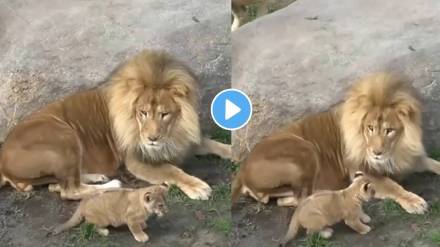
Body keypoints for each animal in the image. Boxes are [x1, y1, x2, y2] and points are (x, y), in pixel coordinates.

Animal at [0, 49, 232, 200]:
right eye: (143, 113)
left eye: (164, 114)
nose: (152, 139)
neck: (174, 130)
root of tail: (3, 160)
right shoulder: (136, 159)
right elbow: (171, 170)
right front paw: (197, 186)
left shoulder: (183, 139)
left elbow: (214, 144)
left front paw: (233, 151)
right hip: (64, 135)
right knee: (70, 191)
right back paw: (114, 184)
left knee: (60, 185)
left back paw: (95, 176)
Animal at [232, 73, 438, 214]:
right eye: (370, 128)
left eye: (389, 130)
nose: (376, 153)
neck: (396, 149)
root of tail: (242, 171)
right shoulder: (362, 168)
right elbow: (391, 185)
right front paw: (414, 201)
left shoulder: (409, 157)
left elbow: (434, 163)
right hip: (306, 149)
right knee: (303, 197)